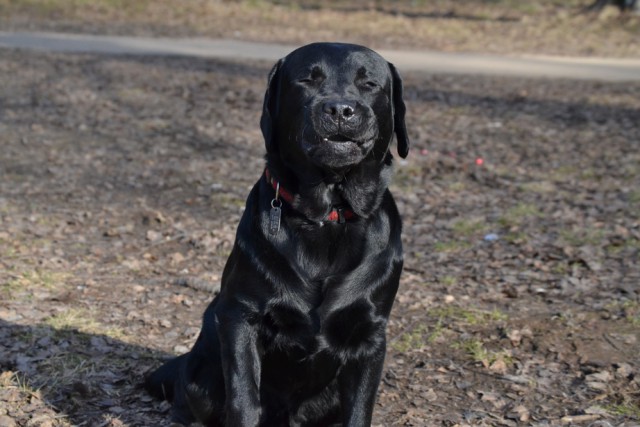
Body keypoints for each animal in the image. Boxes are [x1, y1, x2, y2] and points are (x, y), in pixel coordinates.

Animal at [146, 41, 410, 426]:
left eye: (369, 84)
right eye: (307, 80)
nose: (340, 109)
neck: (327, 217)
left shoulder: (370, 334)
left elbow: (359, 410)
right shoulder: (241, 317)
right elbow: (244, 400)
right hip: (201, 377)